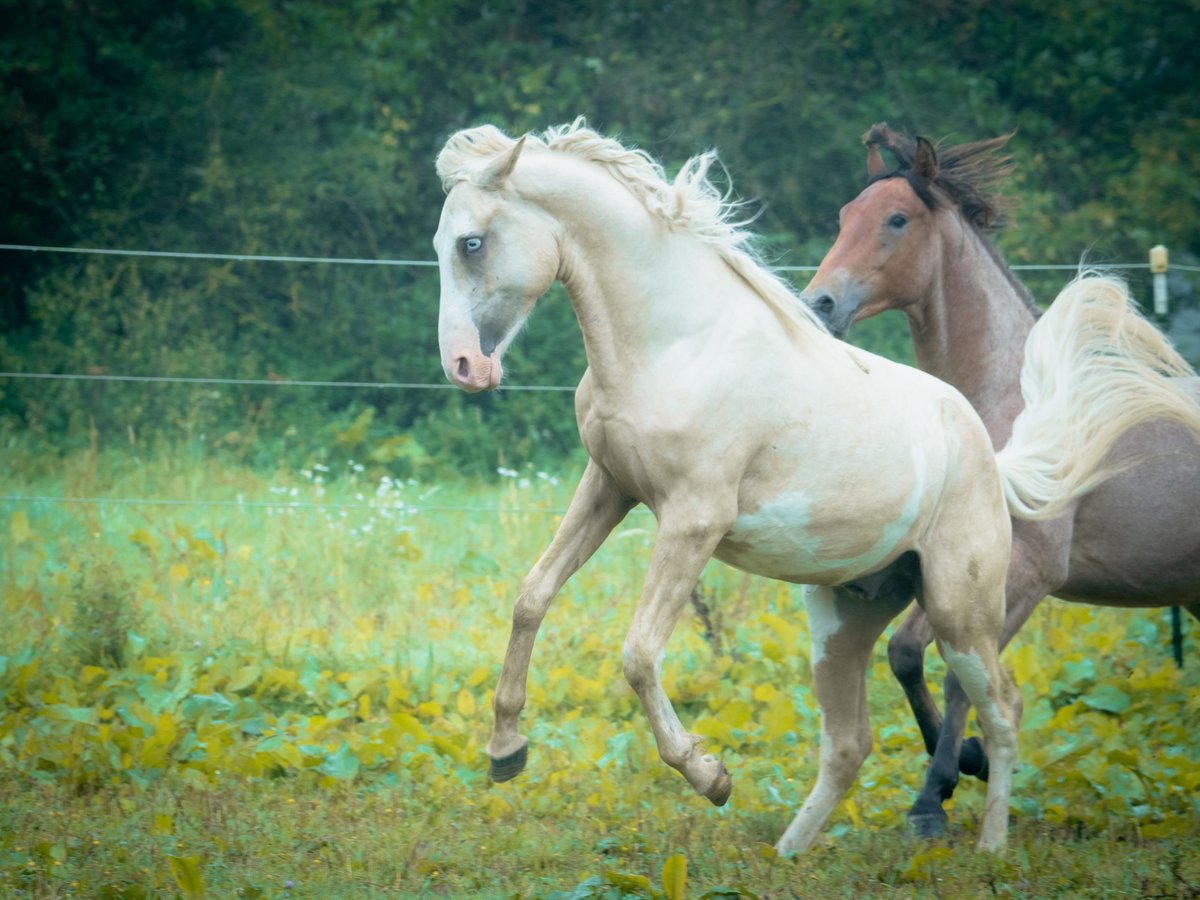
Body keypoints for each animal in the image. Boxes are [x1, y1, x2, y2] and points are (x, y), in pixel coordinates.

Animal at [434, 118, 1032, 854]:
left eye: (472, 243)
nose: (464, 365)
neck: (673, 343)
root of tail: (989, 452)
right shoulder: (608, 487)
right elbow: (532, 597)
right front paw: (506, 750)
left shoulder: (693, 519)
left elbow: (638, 655)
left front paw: (710, 776)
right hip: (844, 620)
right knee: (851, 742)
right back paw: (791, 852)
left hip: (960, 610)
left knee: (1001, 708)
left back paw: (989, 847)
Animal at [801, 125, 1200, 840]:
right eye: (845, 216)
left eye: (897, 219)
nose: (819, 304)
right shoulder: (935, 570)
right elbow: (906, 654)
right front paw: (969, 761)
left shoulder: (1025, 577)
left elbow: (960, 674)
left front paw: (934, 797)